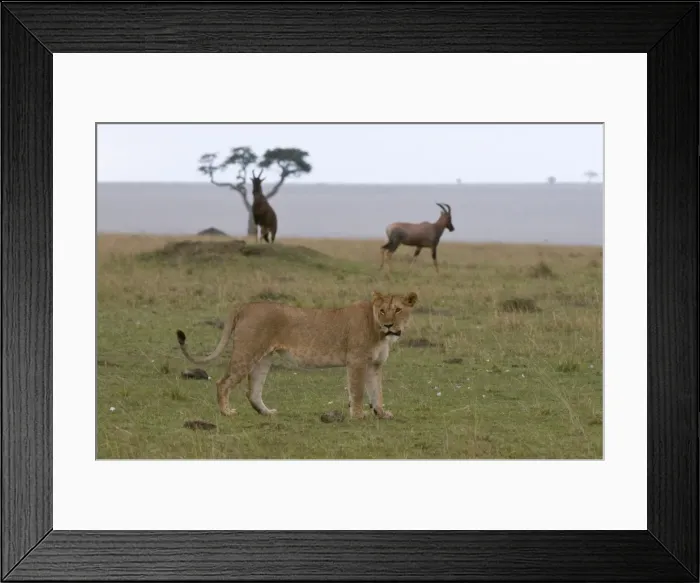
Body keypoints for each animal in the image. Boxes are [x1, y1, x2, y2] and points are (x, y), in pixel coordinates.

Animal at [175, 290, 418, 420]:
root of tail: (246, 305)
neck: (380, 332)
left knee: (253, 391)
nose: (389, 325)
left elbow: (377, 392)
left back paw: (267, 413)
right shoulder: (356, 362)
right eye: (382, 310)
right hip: (247, 352)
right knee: (222, 383)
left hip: (263, 358)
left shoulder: (374, 365)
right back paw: (226, 412)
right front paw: (359, 416)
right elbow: (358, 392)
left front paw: (382, 413)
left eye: (397, 310)